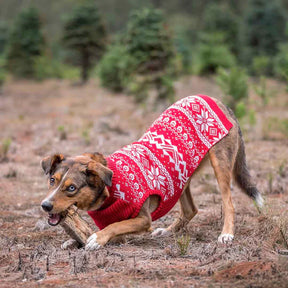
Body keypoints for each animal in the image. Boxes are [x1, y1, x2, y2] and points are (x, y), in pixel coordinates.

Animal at [40, 94, 264, 250]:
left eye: (71, 188)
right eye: (52, 180)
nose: (45, 205)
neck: (111, 187)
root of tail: (219, 101)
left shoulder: (142, 219)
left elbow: (114, 227)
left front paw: (96, 238)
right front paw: (75, 241)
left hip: (221, 163)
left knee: (229, 203)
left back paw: (226, 234)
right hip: (180, 177)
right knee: (190, 210)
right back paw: (167, 231)